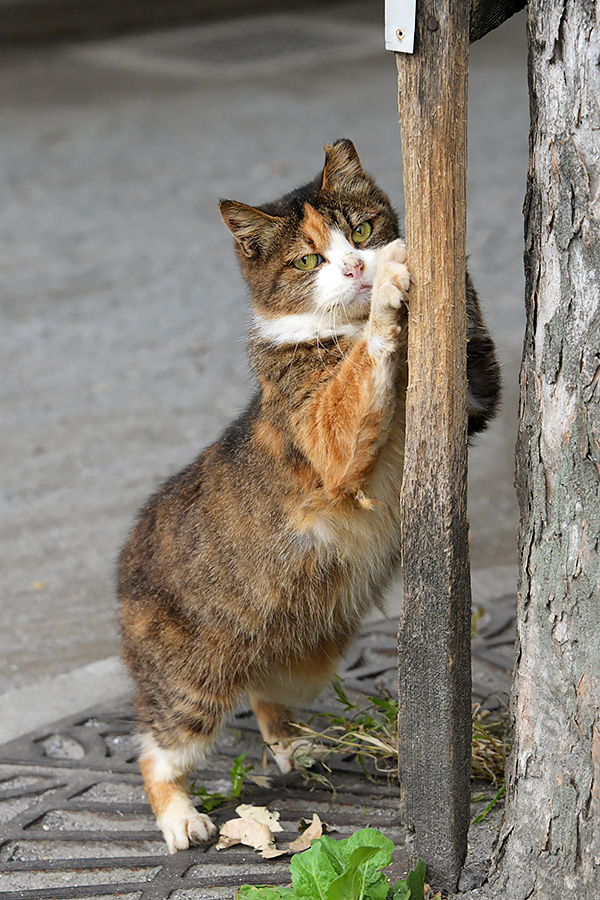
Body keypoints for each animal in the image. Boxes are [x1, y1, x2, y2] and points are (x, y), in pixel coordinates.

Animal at [117, 139, 502, 852]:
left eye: (360, 229)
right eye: (306, 259)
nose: (355, 265)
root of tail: (128, 547)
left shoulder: (468, 408)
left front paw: (425, 250)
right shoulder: (324, 436)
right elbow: (353, 386)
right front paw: (388, 292)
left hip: (304, 655)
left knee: (267, 692)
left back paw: (296, 747)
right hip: (189, 681)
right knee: (159, 748)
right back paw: (181, 819)